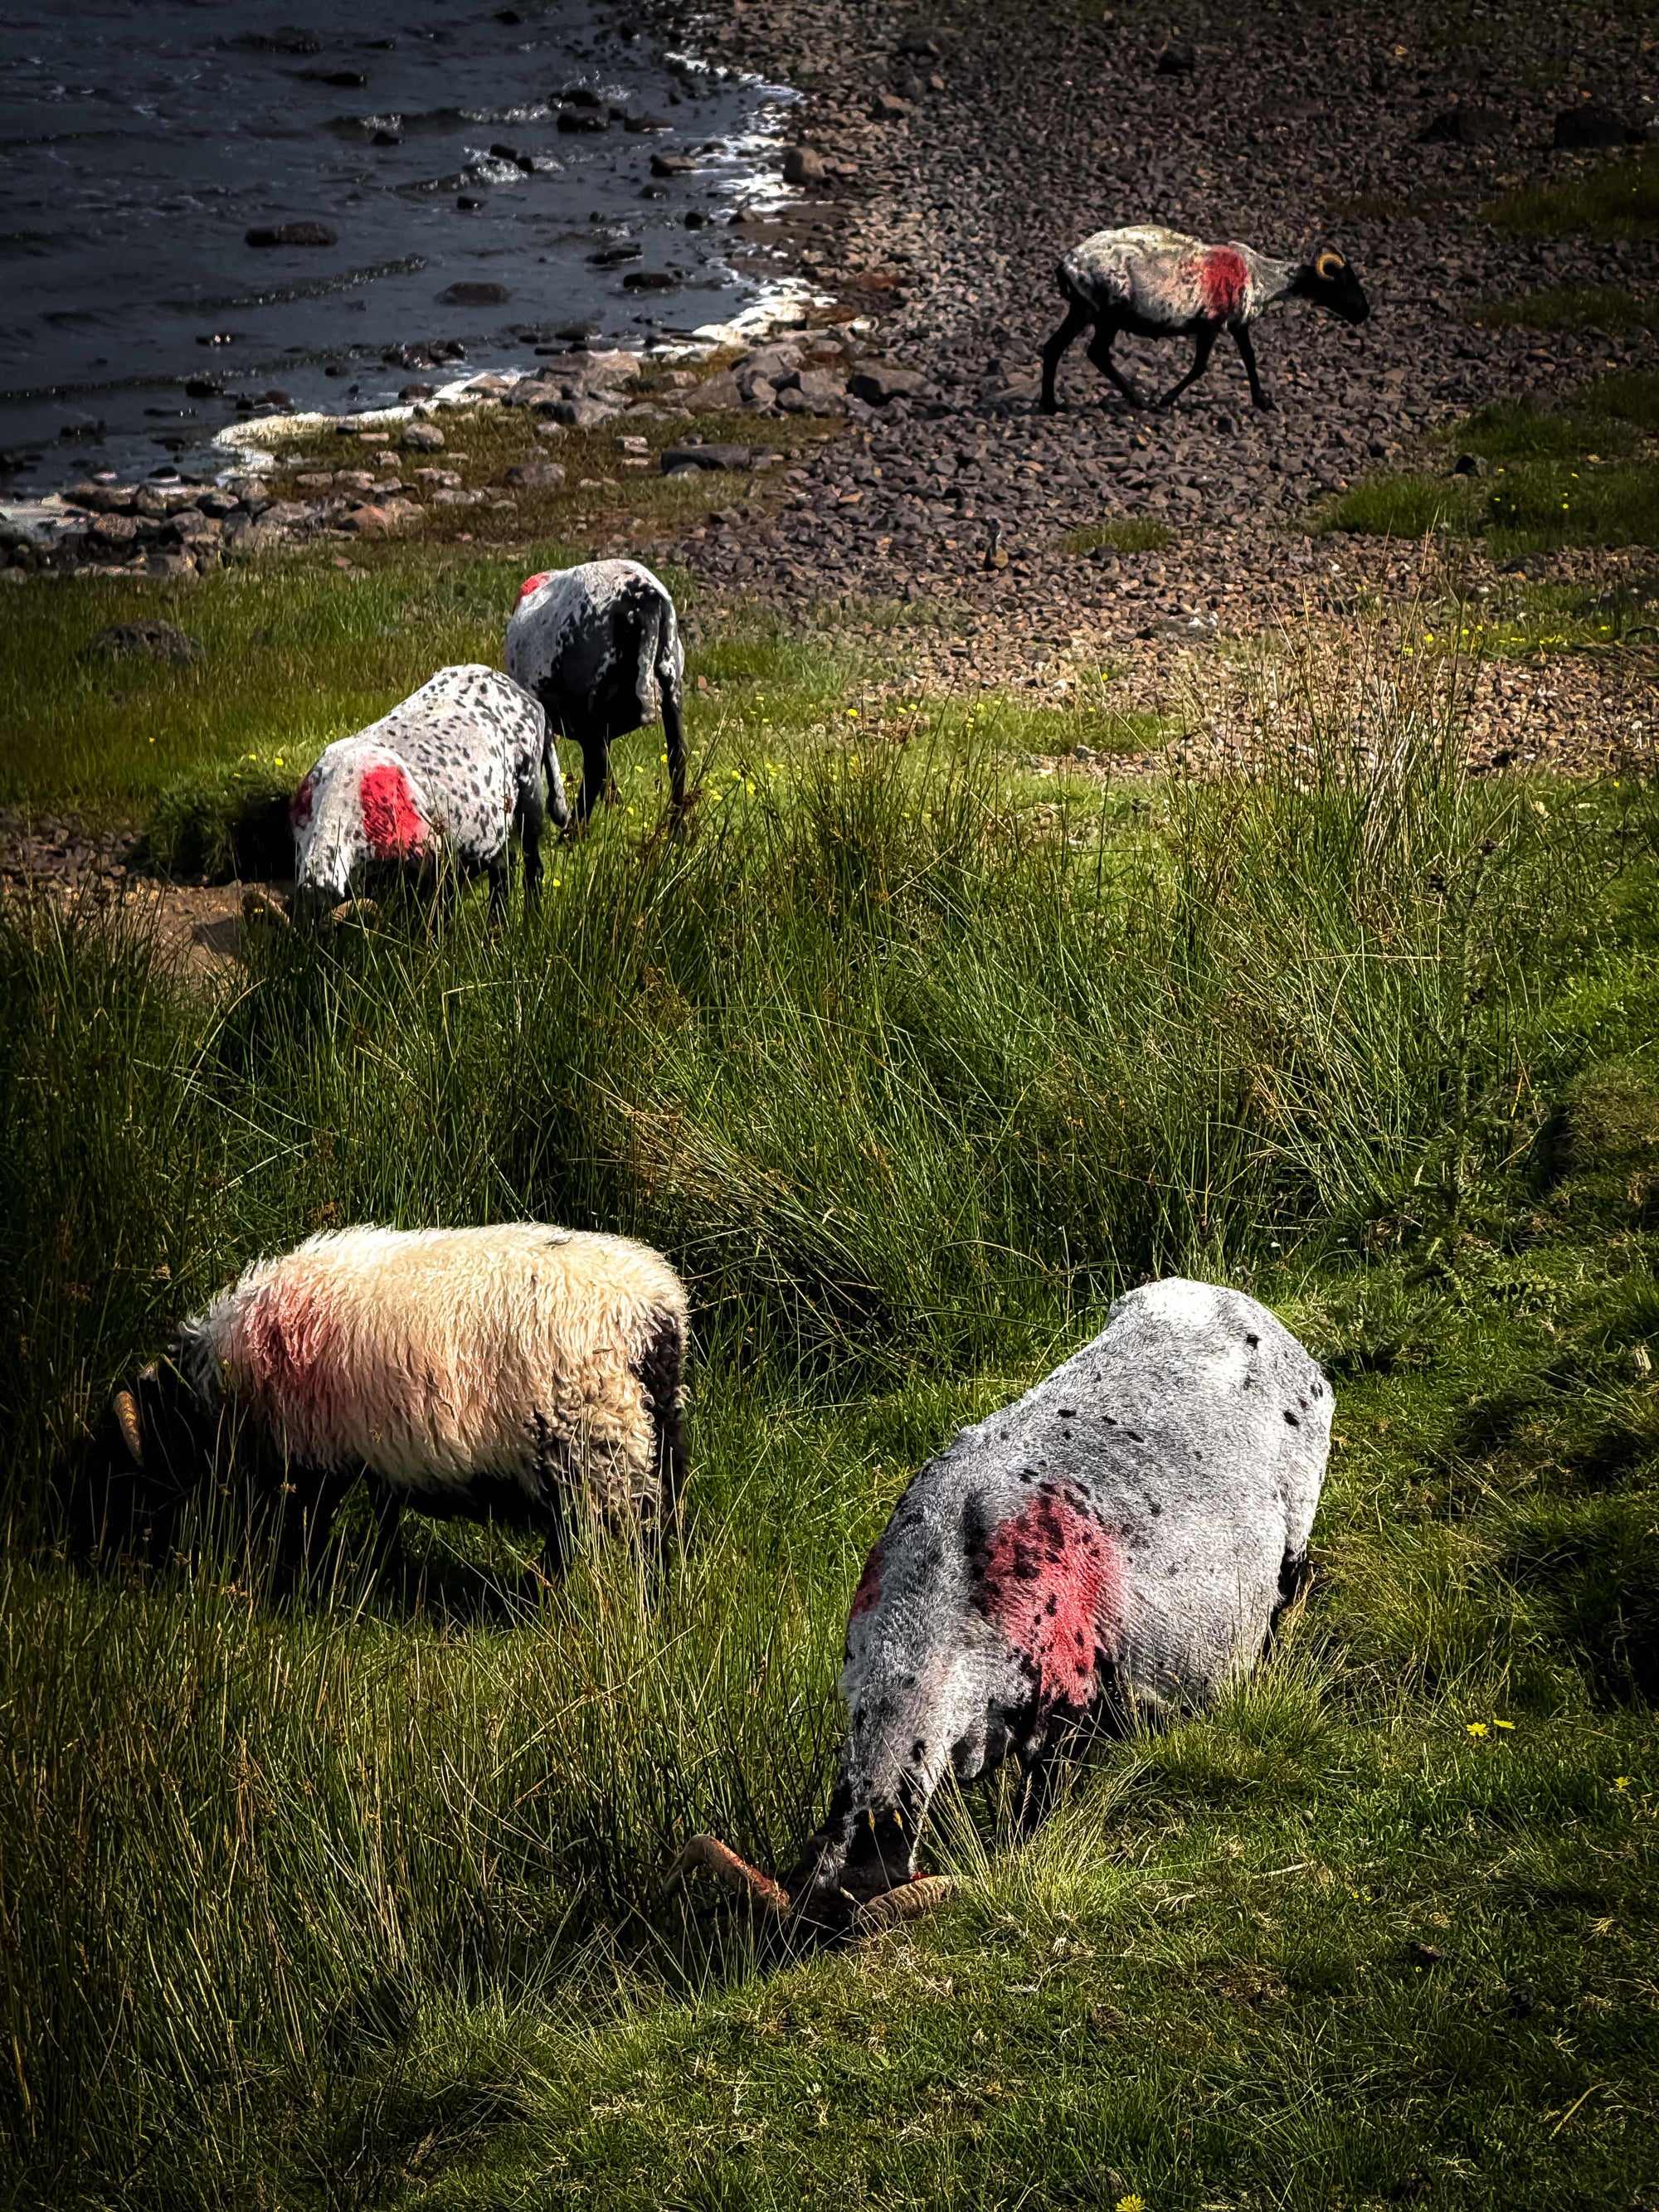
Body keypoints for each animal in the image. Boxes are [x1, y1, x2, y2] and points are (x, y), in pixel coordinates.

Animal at [84, 1223, 688, 1587]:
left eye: (131, 1478)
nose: (105, 1559)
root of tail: (658, 1315)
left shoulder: (315, 1455)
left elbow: (308, 1524)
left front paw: (299, 1583)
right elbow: (380, 1515)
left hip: (597, 1440)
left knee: (626, 1531)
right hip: (652, 1434)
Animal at [289, 664, 566, 919]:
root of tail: (530, 700)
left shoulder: (434, 866)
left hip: (529, 792)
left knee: (532, 867)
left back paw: (532, 918)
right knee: (503, 866)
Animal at [505, 559, 686, 827]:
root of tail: (645, 597)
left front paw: (559, 811)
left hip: (589, 704)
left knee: (595, 767)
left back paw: (573, 830)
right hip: (668, 685)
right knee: (678, 757)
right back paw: (676, 829)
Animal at [1040, 225, 1369, 414]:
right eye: (1345, 282)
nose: (1364, 313)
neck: (1263, 276)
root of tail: (1068, 264)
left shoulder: (1237, 324)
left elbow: (1249, 358)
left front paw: (1262, 401)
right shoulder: (1212, 322)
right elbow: (1202, 366)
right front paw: (1166, 400)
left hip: (1083, 310)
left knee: (1054, 347)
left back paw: (1050, 404)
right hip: (1108, 314)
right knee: (1096, 352)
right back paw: (1138, 401)